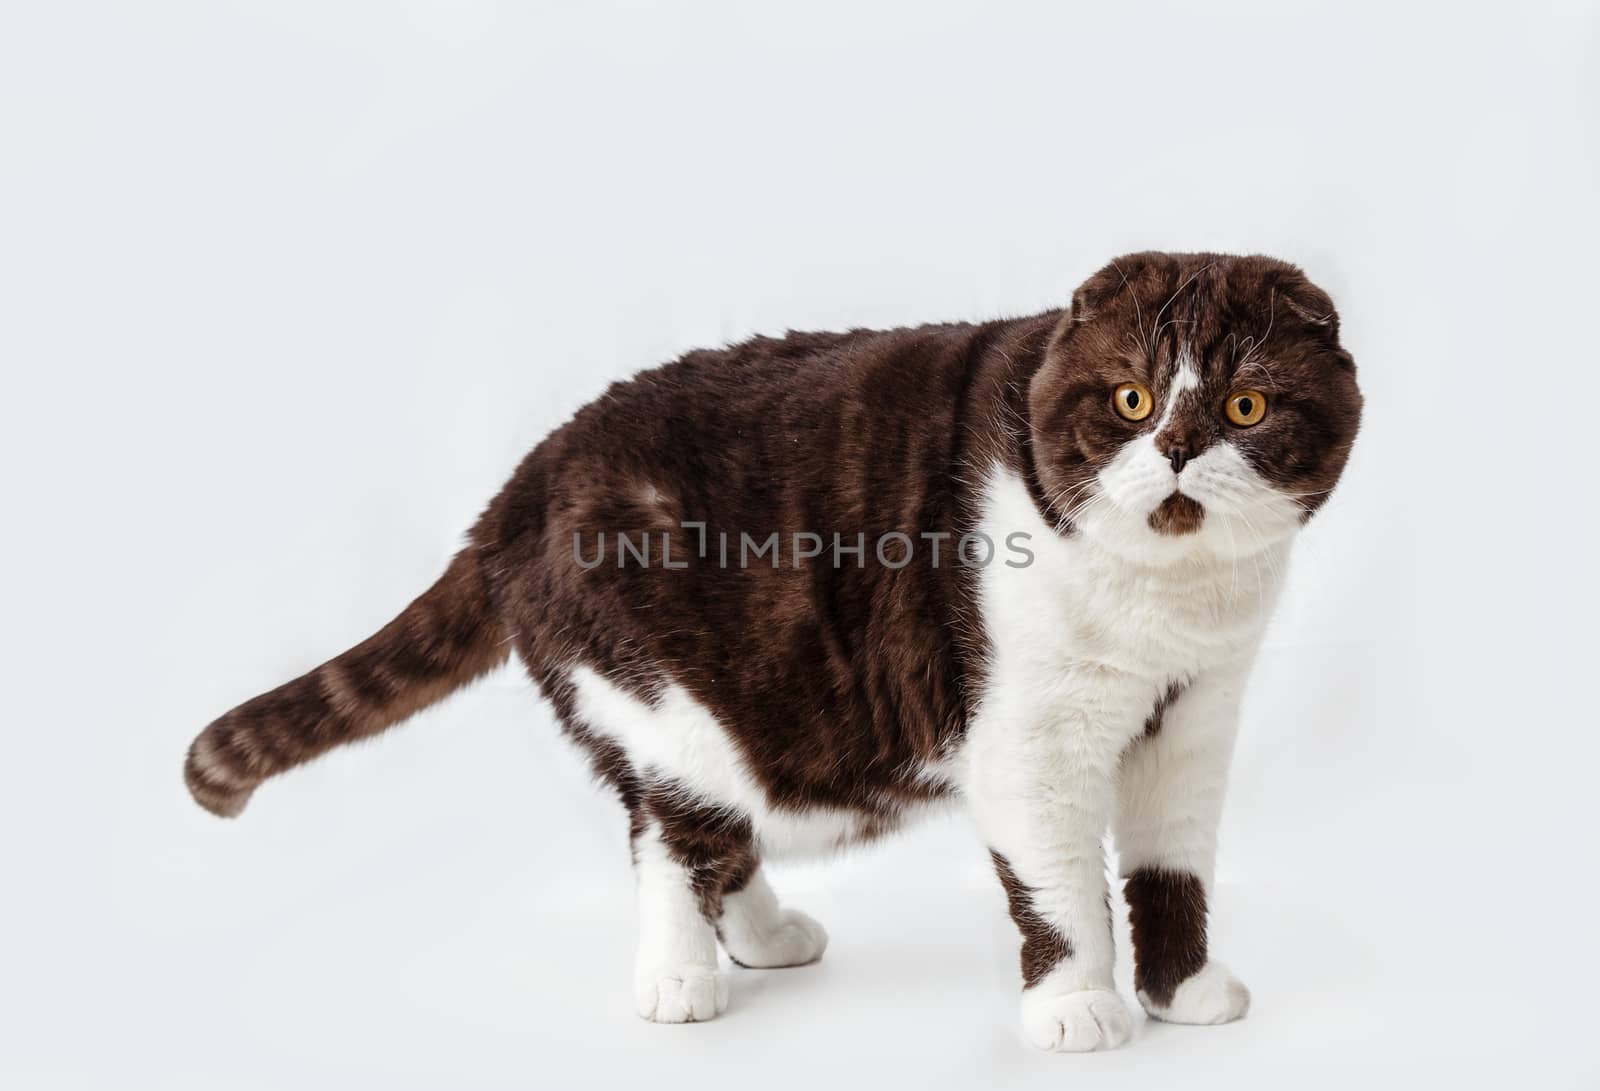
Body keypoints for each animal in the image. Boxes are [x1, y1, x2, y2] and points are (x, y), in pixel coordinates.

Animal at [184, 251, 1363, 1049]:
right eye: (1130, 398)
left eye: (1247, 406)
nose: (1179, 449)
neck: (1170, 605)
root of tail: (522, 481)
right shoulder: (1031, 746)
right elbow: (1059, 880)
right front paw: (1077, 1005)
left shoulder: (1194, 722)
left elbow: (1173, 865)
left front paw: (1182, 992)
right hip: (660, 696)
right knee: (672, 834)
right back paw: (680, 979)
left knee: (724, 825)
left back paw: (763, 934)